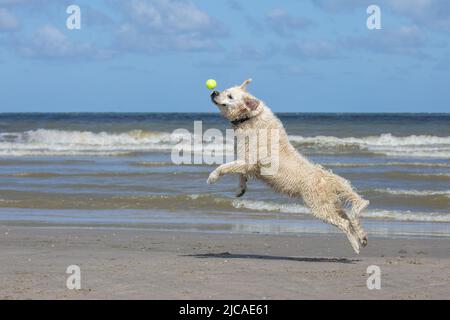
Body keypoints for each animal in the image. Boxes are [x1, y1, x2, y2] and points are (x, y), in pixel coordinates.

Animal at [207, 80, 370, 255]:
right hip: (331, 203)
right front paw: (240, 190)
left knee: (344, 223)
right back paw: (362, 238)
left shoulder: (249, 160)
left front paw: (212, 177)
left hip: (319, 207)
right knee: (349, 218)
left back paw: (355, 246)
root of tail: (328, 178)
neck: (250, 117)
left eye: (230, 96)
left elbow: (225, 167)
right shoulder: (247, 162)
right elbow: (240, 174)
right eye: (225, 90)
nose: (214, 92)